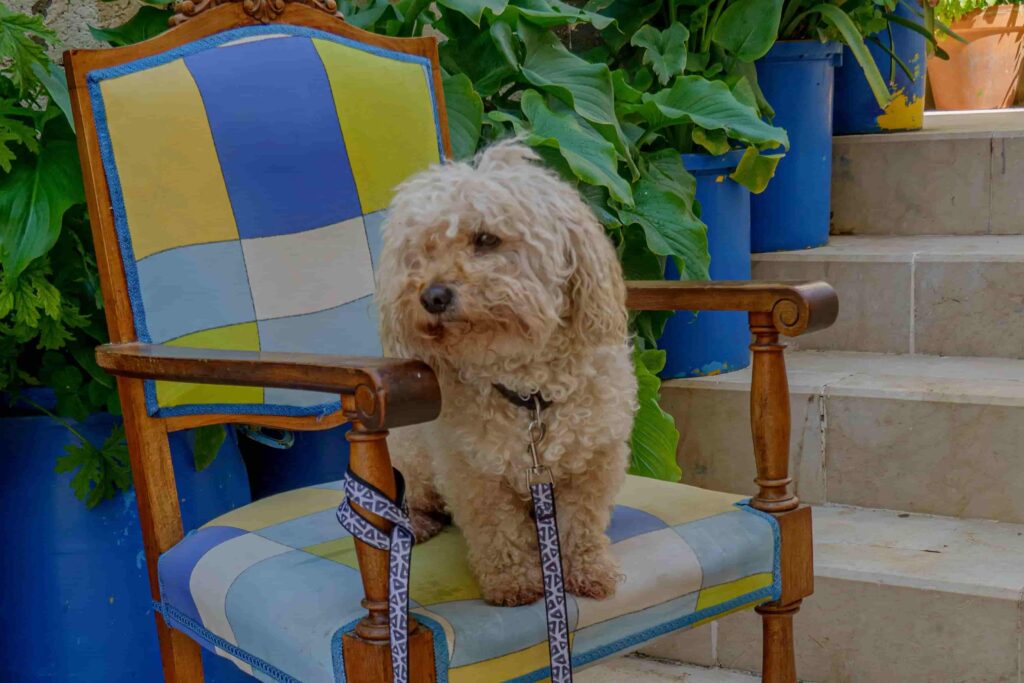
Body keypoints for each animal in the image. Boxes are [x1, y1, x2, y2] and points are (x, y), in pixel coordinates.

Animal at [378, 141, 630, 606]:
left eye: (486, 239)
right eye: (422, 250)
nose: (432, 295)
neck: (530, 393)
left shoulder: (595, 461)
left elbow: (581, 525)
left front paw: (588, 569)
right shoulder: (472, 473)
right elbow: (497, 531)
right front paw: (512, 582)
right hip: (411, 454)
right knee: (413, 495)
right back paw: (418, 521)